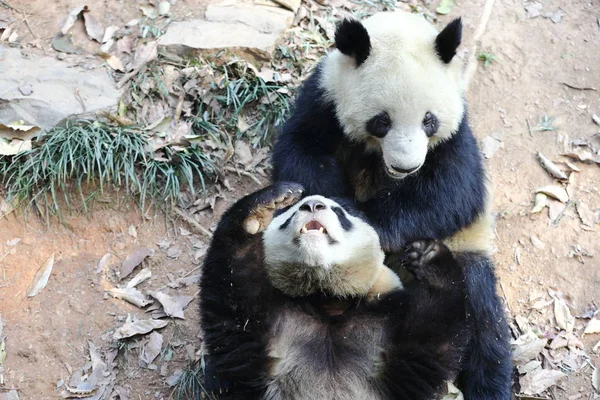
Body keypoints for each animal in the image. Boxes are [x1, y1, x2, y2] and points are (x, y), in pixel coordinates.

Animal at [199, 182, 472, 400]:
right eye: (289, 215)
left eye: (341, 213)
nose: (312, 205)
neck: (326, 299)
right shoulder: (266, 325)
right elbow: (233, 296)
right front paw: (263, 208)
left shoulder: (389, 327)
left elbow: (432, 339)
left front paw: (427, 256)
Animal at [272, 10, 510, 398]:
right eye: (381, 121)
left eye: (429, 120)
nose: (406, 166)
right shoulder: (323, 102)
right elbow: (301, 153)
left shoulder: (456, 134)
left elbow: (454, 190)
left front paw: (371, 227)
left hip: (465, 253)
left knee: (483, 321)